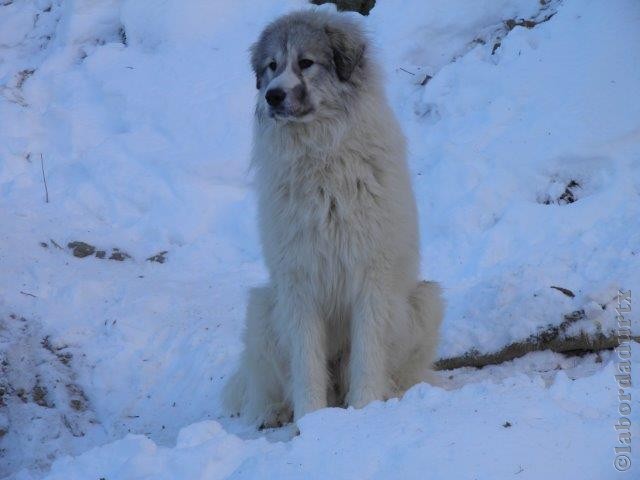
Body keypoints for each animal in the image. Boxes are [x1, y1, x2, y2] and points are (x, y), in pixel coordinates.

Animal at [222, 8, 442, 428]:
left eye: (306, 62)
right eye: (272, 66)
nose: (273, 95)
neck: (320, 155)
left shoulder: (372, 277)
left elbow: (368, 356)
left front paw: (365, 410)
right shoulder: (298, 282)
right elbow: (306, 363)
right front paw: (311, 422)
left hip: (424, 300)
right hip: (262, 308)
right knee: (265, 384)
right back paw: (273, 413)